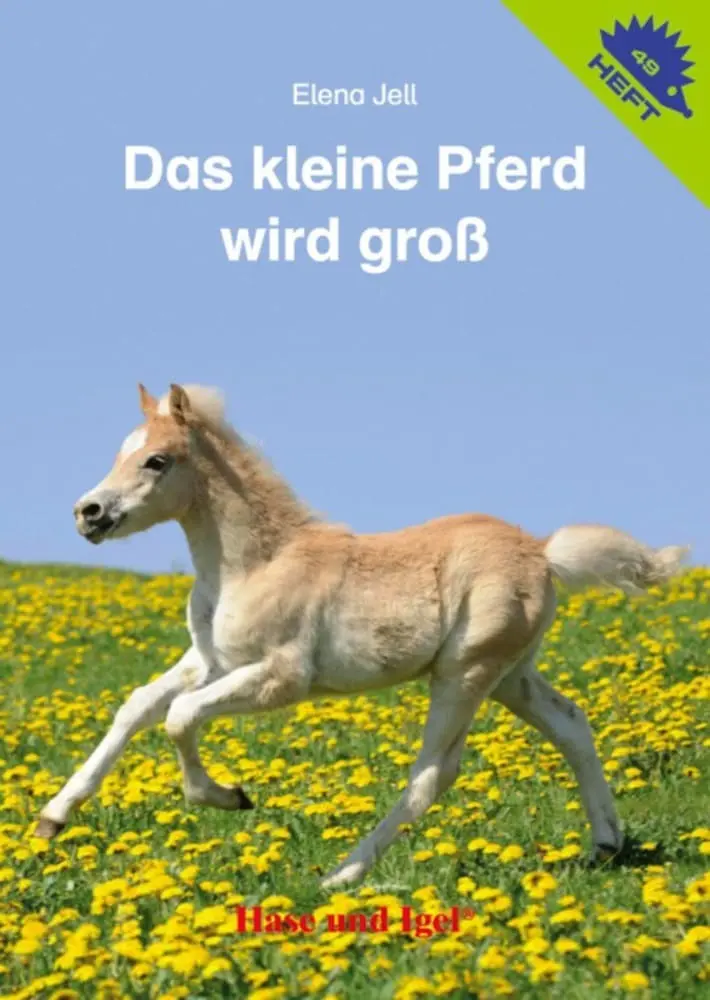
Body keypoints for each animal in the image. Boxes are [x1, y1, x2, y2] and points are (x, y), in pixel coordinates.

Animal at [35, 384, 687, 888]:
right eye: (121, 451)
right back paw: (606, 843)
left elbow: (180, 717)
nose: (88, 513)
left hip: (466, 673)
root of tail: (543, 552)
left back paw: (341, 876)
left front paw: (229, 796)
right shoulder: (210, 659)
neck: (255, 563)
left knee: (432, 775)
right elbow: (138, 707)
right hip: (512, 675)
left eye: (157, 461)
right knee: (571, 724)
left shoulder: (280, 678)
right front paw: (51, 818)